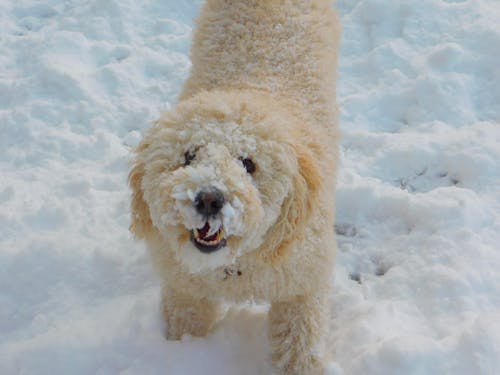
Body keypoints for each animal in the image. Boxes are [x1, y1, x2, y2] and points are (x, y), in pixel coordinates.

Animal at [129, 1, 340, 374]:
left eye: (248, 163)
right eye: (189, 155)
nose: (209, 199)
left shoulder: (303, 284)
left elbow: (300, 343)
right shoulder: (185, 289)